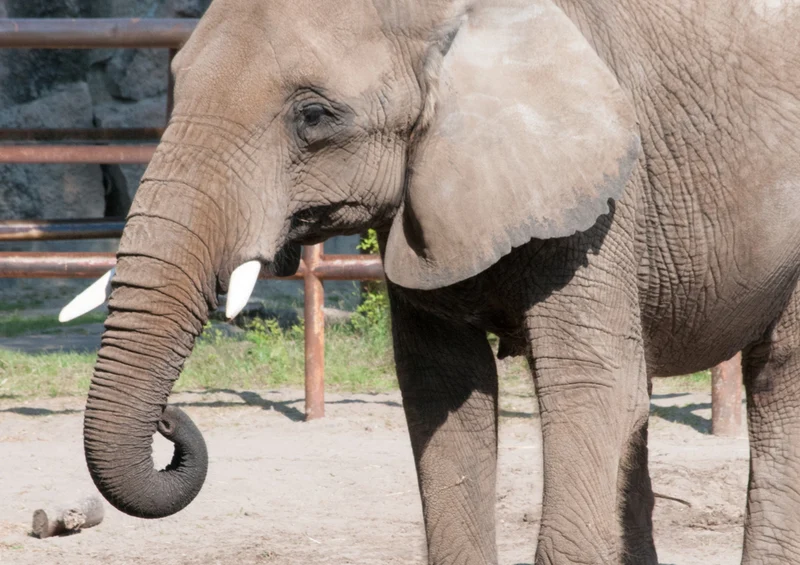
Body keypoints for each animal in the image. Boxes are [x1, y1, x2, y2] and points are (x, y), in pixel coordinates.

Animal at [60, 0, 800, 563]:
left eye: (313, 115)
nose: (170, 419)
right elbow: (444, 394)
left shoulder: (604, 200)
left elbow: (592, 391)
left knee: (777, 378)